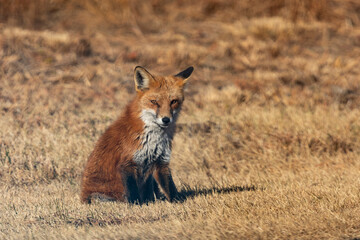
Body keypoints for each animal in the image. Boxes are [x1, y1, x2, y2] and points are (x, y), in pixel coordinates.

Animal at [81, 66, 194, 204]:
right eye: (154, 102)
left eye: (173, 101)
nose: (166, 120)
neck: (154, 138)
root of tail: (82, 197)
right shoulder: (127, 164)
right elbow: (134, 194)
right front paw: (137, 205)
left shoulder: (161, 162)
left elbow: (171, 189)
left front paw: (178, 202)